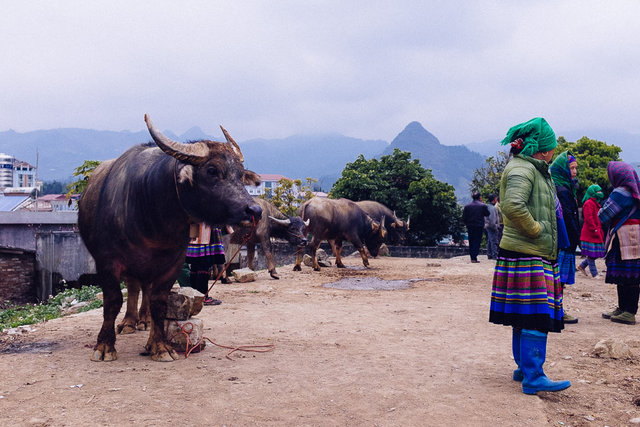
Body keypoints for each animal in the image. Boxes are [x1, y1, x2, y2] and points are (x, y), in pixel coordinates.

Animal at [78, 113, 262, 362]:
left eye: (240, 174)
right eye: (212, 171)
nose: (255, 211)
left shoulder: (172, 263)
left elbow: (159, 301)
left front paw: (160, 346)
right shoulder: (106, 262)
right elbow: (113, 300)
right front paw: (104, 346)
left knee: (143, 289)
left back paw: (144, 321)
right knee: (133, 288)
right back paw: (129, 323)